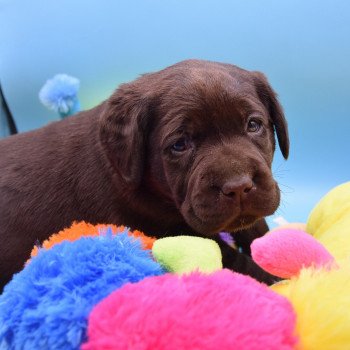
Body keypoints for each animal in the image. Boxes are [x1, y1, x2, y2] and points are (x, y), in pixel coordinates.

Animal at [0, 60, 288, 290]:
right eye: (180, 145)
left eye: (253, 125)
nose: (238, 187)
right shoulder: (169, 229)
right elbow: (231, 257)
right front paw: (275, 278)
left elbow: (256, 227)